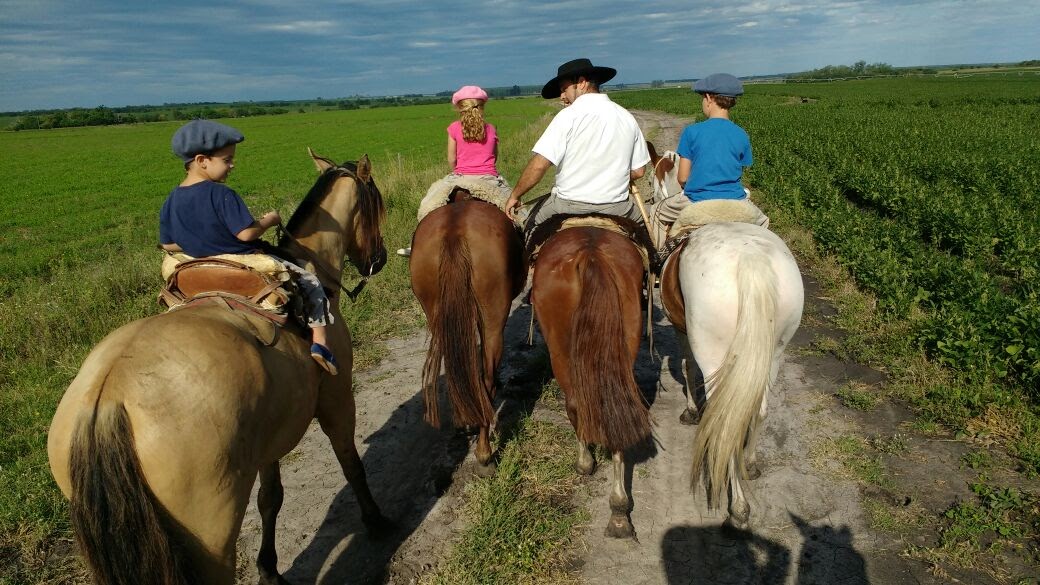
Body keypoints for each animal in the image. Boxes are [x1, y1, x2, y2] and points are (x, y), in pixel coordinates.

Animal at [44, 148, 391, 582]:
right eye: (377, 204)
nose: (379, 259)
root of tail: (108, 399)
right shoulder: (338, 402)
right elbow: (351, 464)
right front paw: (376, 521)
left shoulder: (269, 436)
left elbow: (271, 498)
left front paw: (269, 568)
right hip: (211, 535)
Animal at [657, 218, 802, 528]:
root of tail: (750, 259)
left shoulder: (683, 331)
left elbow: (687, 365)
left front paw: (691, 411)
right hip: (772, 354)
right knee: (756, 410)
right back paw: (749, 463)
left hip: (713, 351)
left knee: (726, 418)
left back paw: (738, 508)